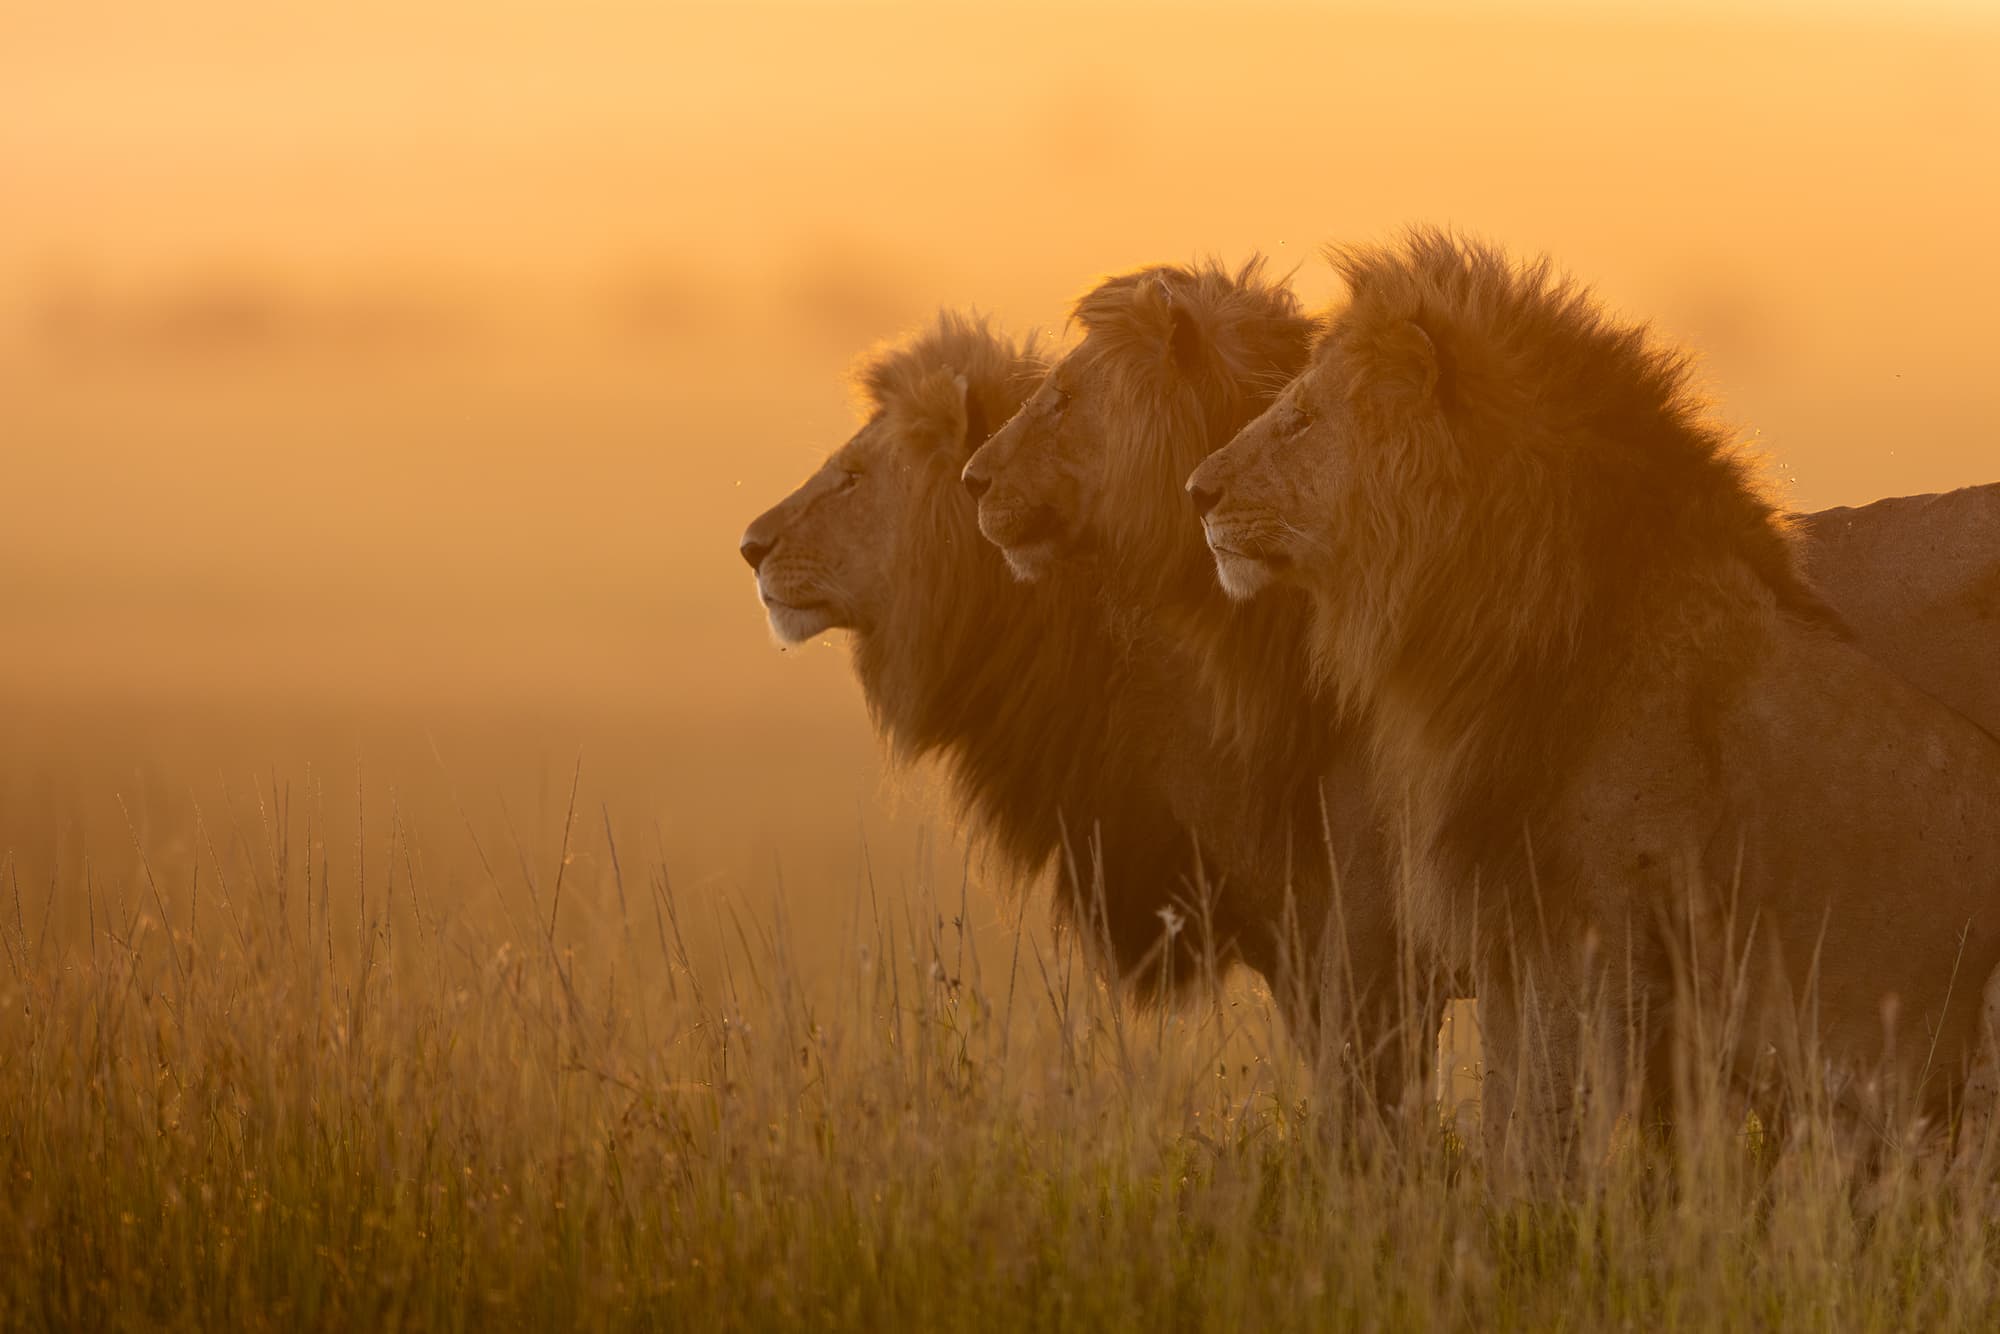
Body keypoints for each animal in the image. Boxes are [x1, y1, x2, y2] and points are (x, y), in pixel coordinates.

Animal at [1176, 232, 2000, 1168]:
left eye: (1304, 419)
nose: (1196, 491)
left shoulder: (1592, 927)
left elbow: (1543, 1131)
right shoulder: (1513, 931)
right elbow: (1513, 1110)